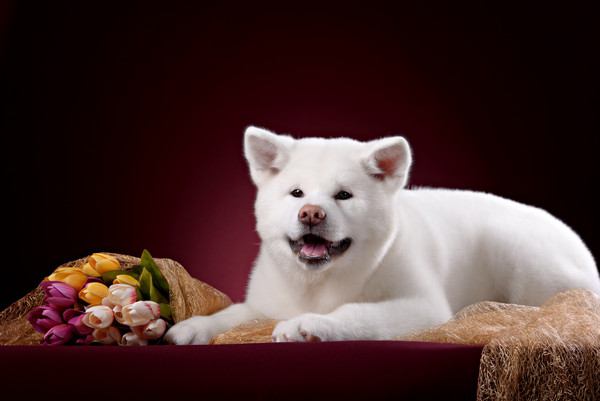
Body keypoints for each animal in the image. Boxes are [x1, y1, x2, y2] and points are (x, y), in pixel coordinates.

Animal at [165, 126, 600, 342]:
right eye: (297, 194)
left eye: (343, 195)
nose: (311, 213)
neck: (315, 284)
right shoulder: (266, 301)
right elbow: (232, 314)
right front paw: (191, 328)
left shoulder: (421, 307)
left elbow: (356, 313)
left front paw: (308, 325)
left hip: (524, 259)